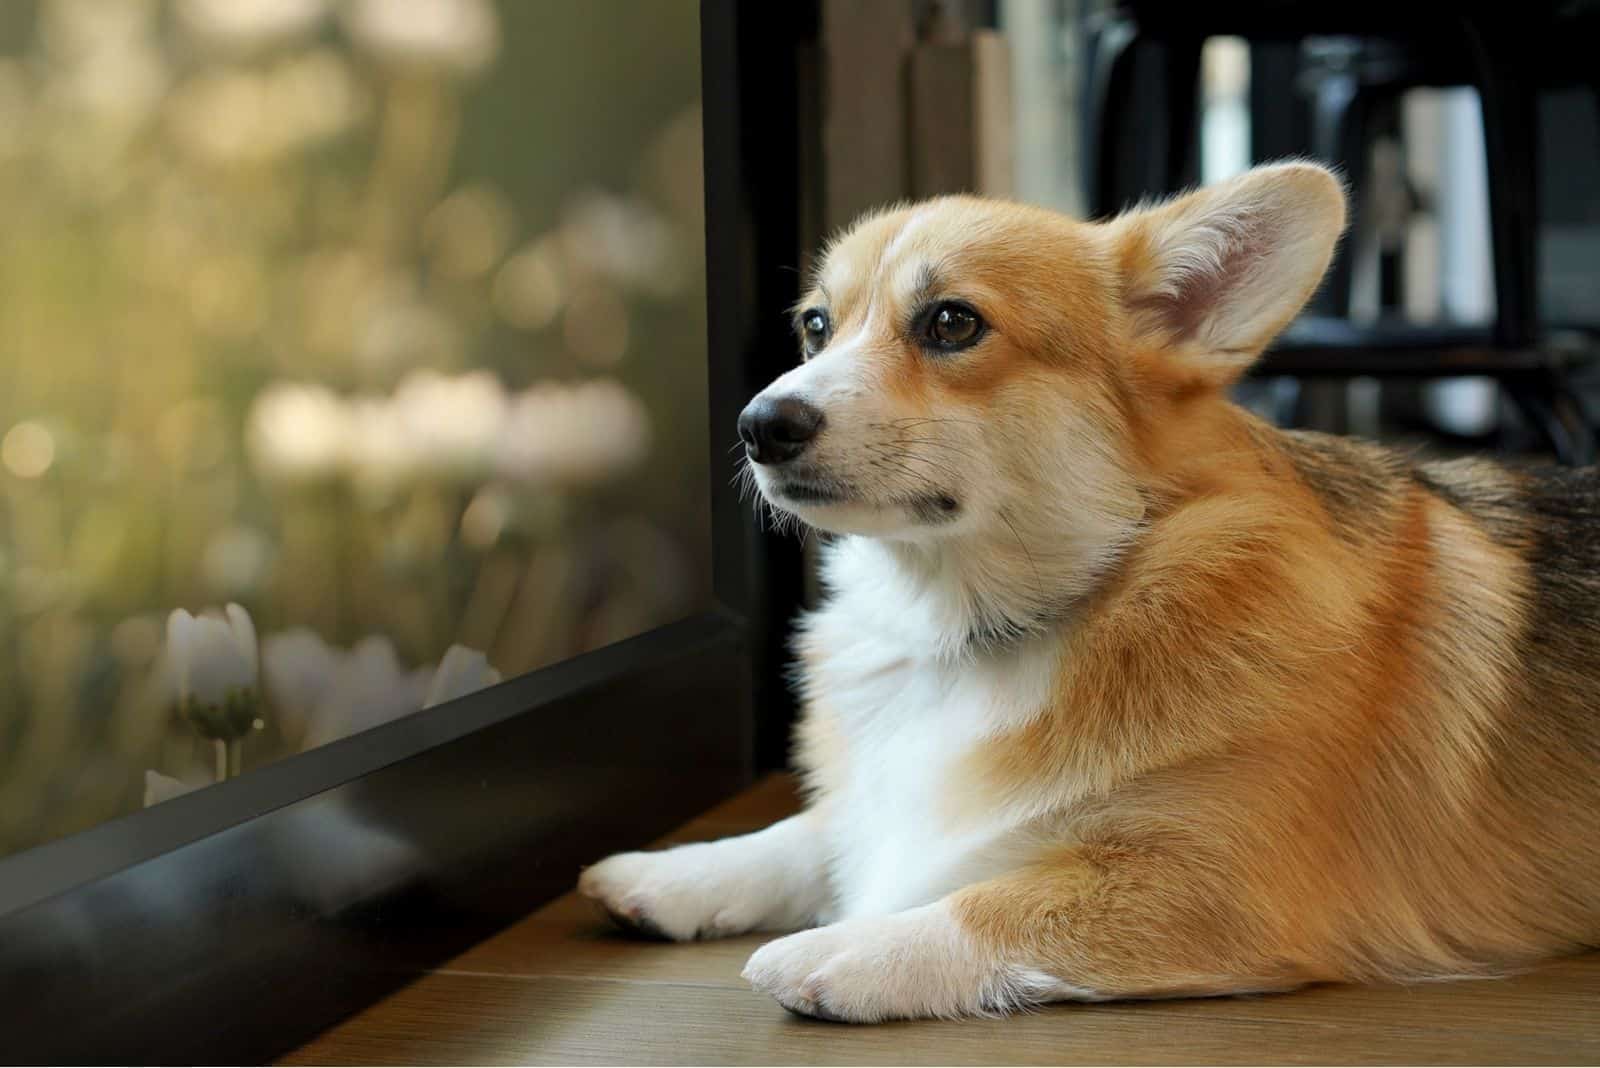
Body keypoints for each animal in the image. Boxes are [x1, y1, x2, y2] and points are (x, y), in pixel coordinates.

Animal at [579, 163, 1600, 1023]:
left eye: (952, 323)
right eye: (816, 327)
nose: (758, 425)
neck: (972, 625)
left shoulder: (1215, 886)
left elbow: (983, 906)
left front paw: (839, 949)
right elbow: (814, 828)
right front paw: (676, 874)